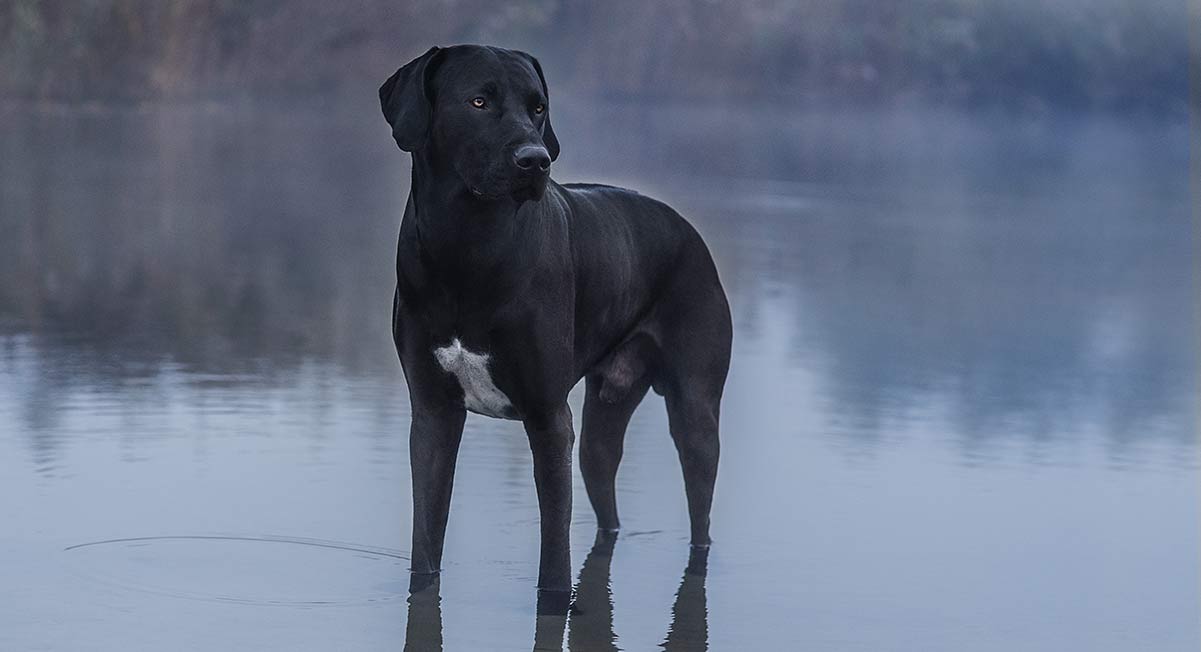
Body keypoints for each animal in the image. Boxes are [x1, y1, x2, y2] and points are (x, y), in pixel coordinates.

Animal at [377, 45, 730, 612]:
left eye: (538, 107)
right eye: (478, 101)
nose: (535, 159)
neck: (468, 245)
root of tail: (688, 229)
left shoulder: (548, 419)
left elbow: (554, 561)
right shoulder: (432, 415)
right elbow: (425, 543)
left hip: (696, 415)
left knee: (701, 513)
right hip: (600, 430)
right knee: (607, 506)